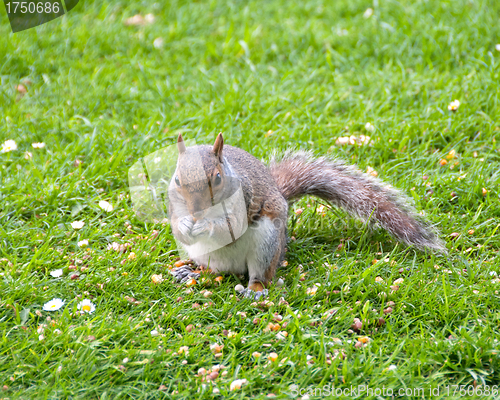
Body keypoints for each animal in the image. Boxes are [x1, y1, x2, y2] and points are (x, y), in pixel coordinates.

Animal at [168, 133, 446, 298]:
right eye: (177, 179)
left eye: (216, 178)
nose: (196, 211)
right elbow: (177, 226)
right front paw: (186, 224)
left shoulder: (244, 199)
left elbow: (231, 227)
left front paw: (206, 225)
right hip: (206, 255)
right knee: (215, 270)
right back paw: (193, 272)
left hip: (267, 244)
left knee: (262, 275)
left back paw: (255, 289)